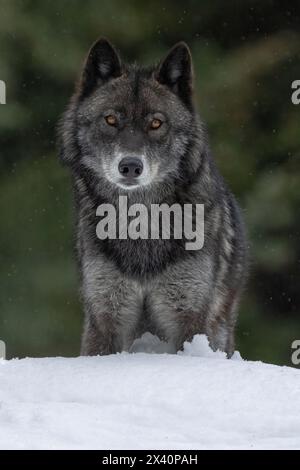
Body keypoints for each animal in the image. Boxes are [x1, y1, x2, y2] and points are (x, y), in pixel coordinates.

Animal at [57, 38, 247, 358]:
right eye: (111, 119)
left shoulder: (189, 317)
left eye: (156, 124)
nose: (131, 166)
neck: (140, 224)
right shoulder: (106, 315)